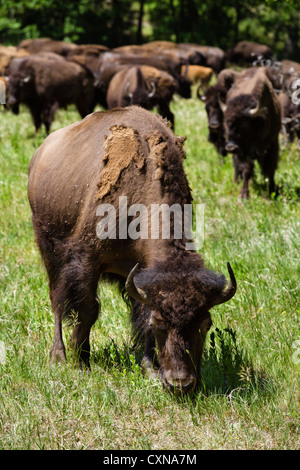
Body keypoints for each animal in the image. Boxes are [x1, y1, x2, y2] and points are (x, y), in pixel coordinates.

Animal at [27, 105, 237, 392]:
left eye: (205, 325)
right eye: (159, 324)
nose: (180, 383)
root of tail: (41, 152)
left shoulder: (142, 276)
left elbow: (139, 311)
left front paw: (150, 368)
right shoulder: (86, 261)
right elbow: (87, 310)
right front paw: (81, 364)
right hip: (49, 250)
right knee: (57, 300)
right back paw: (57, 356)